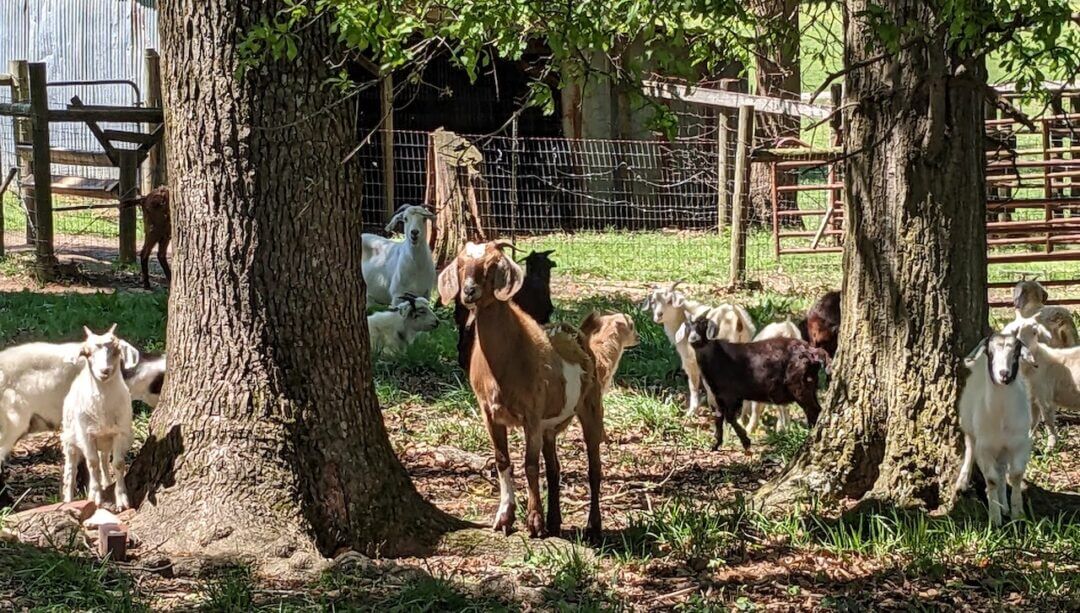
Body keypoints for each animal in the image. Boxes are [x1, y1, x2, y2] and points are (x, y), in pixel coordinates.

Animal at [60, 325, 134, 510]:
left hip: (105, 440)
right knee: (71, 469)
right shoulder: (86, 435)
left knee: (104, 462)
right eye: (87, 353)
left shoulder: (120, 433)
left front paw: (121, 499)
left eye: (117, 351)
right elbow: (92, 463)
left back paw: (106, 482)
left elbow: (118, 464)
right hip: (69, 438)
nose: (104, 371)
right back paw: (68, 499)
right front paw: (95, 496)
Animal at [438, 241, 604, 539]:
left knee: (594, 466)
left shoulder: (532, 414)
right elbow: (502, 460)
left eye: (493, 265)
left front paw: (534, 522)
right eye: (460, 264)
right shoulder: (489, 413)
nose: (469, 291)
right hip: (550, 426)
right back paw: (555, 522)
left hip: (590, 406)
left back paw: (593, 526)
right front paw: (505, 516)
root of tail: (579, 334)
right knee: (554, 468)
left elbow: (529, 464)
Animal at [687, 316, 827, 452]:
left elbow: (729, 417)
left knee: (813, 410)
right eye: (690, 327)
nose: (693, 339)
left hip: (799, 386)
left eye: (703, 326)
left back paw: (809, 437)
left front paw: (746, 442)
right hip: (810, 385)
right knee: (817, 409)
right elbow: (719, 417)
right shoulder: (719, 396)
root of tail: (813, 353)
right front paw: (716, 445)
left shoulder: (731, 395)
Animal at [955, 333, 1034, 527]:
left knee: (1002, 469)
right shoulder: (985, 448)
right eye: (991, 353)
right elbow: (990, 479)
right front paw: (995, 517)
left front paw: (1017, 513)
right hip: (968, 424)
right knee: (970, 448)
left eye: (1016, 354)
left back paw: (1004, 504)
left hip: (1003, 446)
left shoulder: (1021, 444)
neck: (1002, 418)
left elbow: (1015, 475)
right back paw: (962, 482)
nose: (1004, 374)